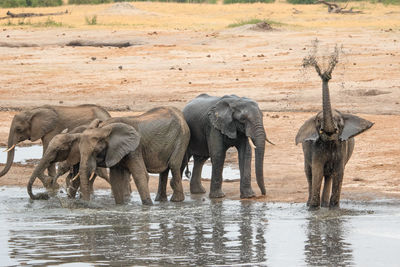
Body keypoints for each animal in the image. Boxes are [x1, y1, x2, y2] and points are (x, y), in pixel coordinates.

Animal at [296, 70, 374, 210]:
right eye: (318, 121)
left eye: (339, 121)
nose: (326, 76)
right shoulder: (316, 148)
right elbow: (317, 171)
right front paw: (314, 208)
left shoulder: (342, 148)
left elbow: (339, 172)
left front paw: (334, 208)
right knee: (310, 174)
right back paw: (311, 205)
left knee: (329, 176)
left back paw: (325, 206)